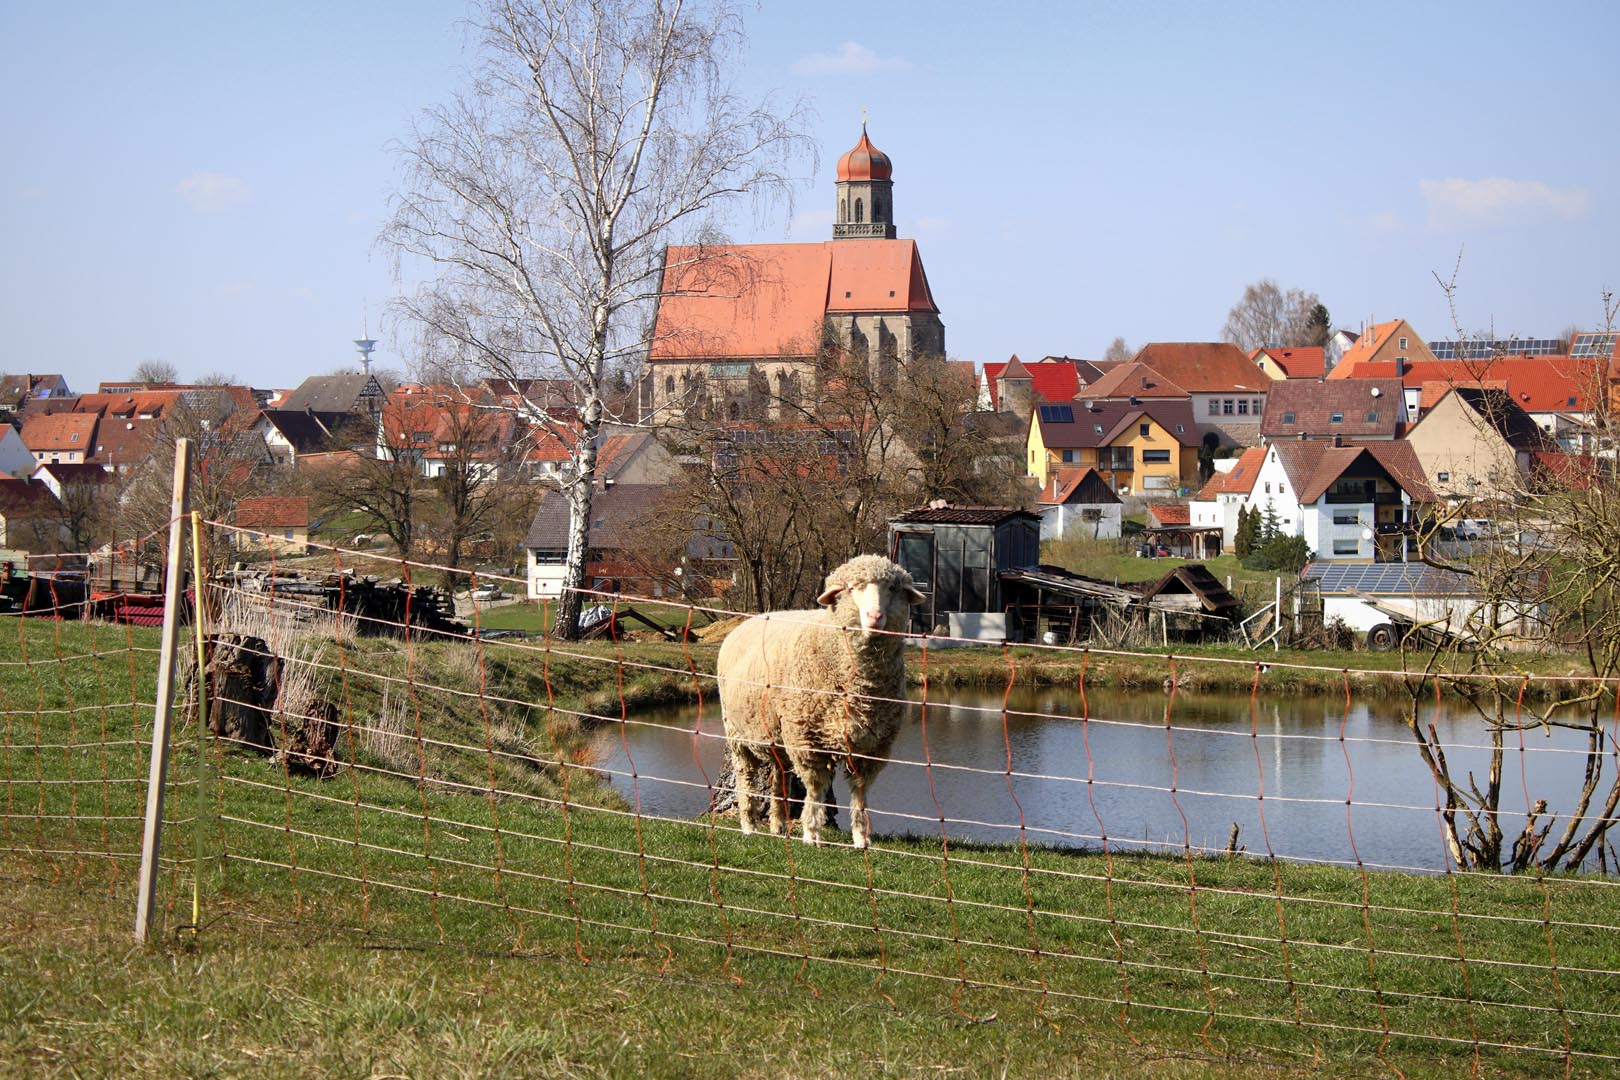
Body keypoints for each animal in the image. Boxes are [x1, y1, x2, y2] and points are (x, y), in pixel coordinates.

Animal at [719, 553, 926, 848]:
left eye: (892, 589)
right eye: (852, 588)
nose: (874, 616)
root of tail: (752, 619)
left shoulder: (871, 747)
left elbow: (860, 793)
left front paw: (861, 838)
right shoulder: (807, 740)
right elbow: (816, 788)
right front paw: (812, 833)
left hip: (776, 736)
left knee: (778, 775)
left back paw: (777, 825)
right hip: (738, 735)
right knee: (745, 778)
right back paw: (749, 826)